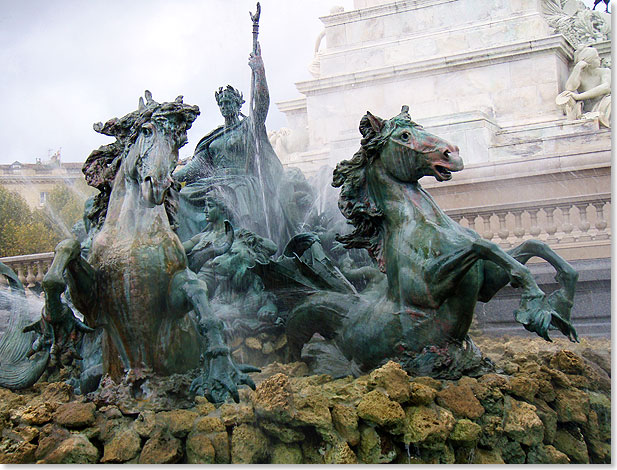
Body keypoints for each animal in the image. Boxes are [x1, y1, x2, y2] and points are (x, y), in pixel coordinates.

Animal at [288, 107, 576, 378]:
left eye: (421, 127)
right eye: (405, 136)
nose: (453, 153)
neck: (424, 222)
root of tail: (348, 315)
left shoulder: (487, 286)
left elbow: (533, 245)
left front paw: (561, 306)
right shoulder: (426, 287)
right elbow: (484, 246)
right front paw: (536, 309)